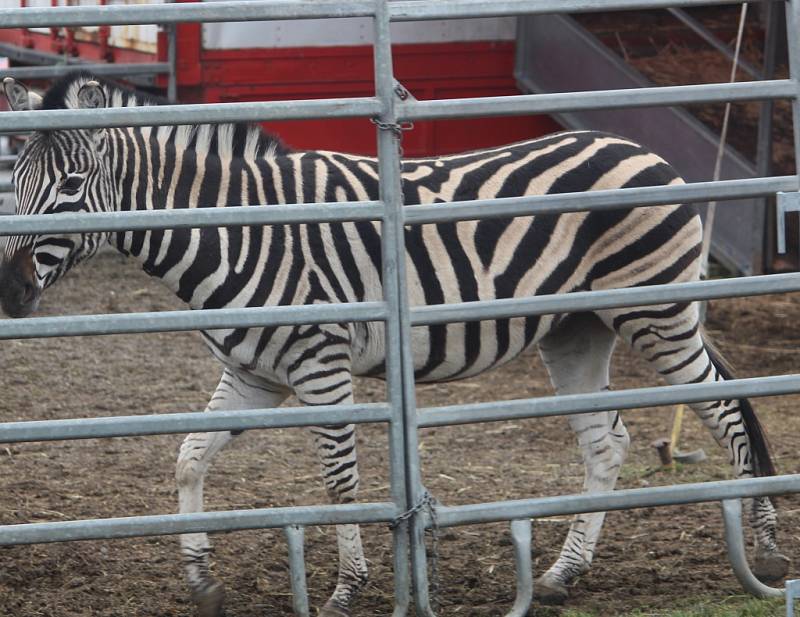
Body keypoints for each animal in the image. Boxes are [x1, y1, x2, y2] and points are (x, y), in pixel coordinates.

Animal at [0, 73, 788, 616]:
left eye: (71, 185)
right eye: (17, 183)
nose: (9, 294)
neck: (235, 227)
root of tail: (639, 147)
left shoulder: (320, 365)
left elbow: (340, 483)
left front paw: (346, 590)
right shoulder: (254, 374)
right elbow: (188, 458)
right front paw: (201, 578)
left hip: (657, 310)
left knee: (729, 408)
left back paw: (769, 552)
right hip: (578, 331)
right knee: (608, 444)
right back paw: (562, 576)